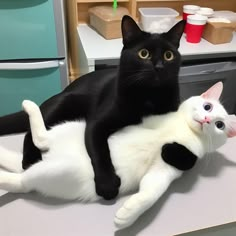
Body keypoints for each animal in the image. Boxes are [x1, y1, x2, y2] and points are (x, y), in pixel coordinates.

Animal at [0, 15, 186, 199]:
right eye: (144, 54)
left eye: (169, 55)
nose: (159, 67)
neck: (148, 96)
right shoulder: (96, 124)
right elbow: (100, 151)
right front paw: (107, 184)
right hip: (63, 103)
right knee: (29, 132)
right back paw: (30, 160)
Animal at [0, 81, 235, 229]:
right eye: (207, 106)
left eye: (220, 125)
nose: (207, 120)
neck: (185, 130)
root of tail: (47, 158)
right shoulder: (148, 119)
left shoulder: (164, 171)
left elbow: (151, 192)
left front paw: (127, 215)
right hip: (69, 130)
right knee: (39, 141)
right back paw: (30, 106)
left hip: (61, 168)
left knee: (23, 180)